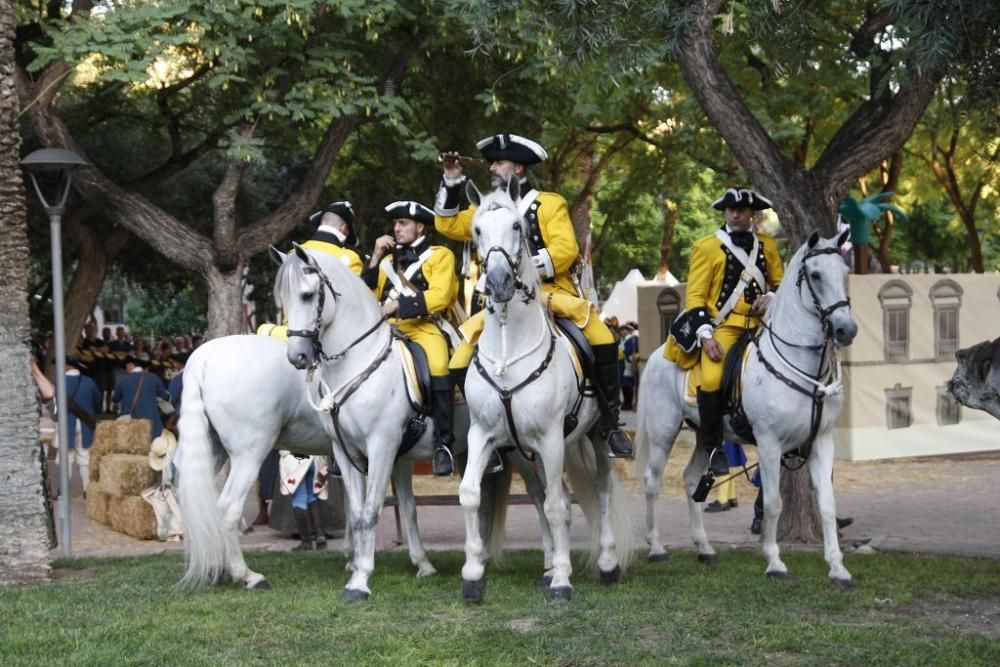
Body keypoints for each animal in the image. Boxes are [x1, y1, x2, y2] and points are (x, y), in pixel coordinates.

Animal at [276, 244, 556, 600]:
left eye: (308, 295)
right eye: (283, 299)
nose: (297, 356)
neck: (358, 364)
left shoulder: (382, 447)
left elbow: (370, 511)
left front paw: (361, 578)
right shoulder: (351, 452)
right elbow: (376, 511)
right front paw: (418, 564)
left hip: (520, 448)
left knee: (539, 494)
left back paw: (550, 563)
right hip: (470, 451)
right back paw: (478, 559)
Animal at [456, 183, 632, 604]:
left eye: (518, 226)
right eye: (477, 230)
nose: (499, 282)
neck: (509, 349)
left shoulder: (551, 438)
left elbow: (557, 507)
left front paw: (563, 582)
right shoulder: (482, 434)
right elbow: (470, 493)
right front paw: (473, 574)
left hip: (592, 437)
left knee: (599, 491)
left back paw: (605, 563)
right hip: (524, 453)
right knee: (542, 493)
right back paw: (550, 564)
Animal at [632, 232, 860, 588]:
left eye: (845, 272)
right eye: (816, 275)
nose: (845, 330)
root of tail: (657, 355)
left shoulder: (821, 442)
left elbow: (826, 504)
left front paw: (838, 568)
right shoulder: (769, 444)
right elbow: (773, 503)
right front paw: (774, 562)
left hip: (704, 435)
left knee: (690, 480)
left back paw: (705, 548)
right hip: (662, 435)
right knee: (652, 480)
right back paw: (656, 547)